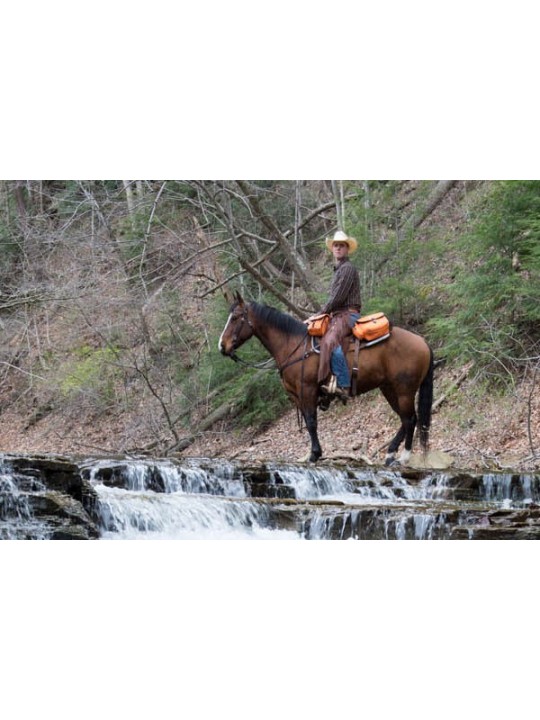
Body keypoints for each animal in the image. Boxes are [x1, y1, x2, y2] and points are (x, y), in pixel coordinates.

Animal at [217, 296, 432, 464]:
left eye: (235, 318)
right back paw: (391, 454)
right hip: (388, 388)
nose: (222, 346)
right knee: (405, 419)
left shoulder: (307, 389)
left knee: (410, 419)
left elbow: (312, 421)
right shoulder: (297, 395)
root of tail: (422, 341)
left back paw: (403, 456)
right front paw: (310, 454)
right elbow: (307, 420)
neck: (294, 346)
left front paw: (315, 455)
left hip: (404, 390)